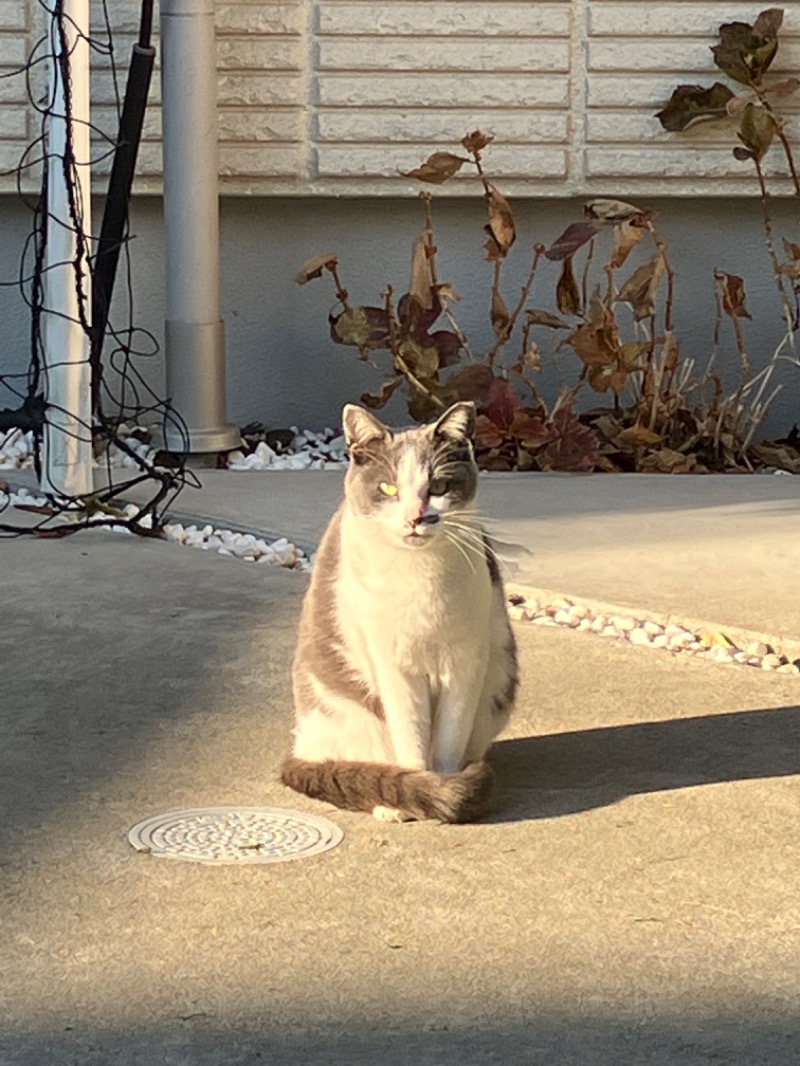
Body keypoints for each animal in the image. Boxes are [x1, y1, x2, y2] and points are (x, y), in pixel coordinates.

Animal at [281, 400, 520, 822]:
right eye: (388, 488)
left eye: (438, 487)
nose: (415, 518)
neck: (420, 578)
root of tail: (301, 746)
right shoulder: (393, 666)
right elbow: (410, 736)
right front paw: (418, 793)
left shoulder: (465, 663)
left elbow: (449, 740)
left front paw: (445, 785)